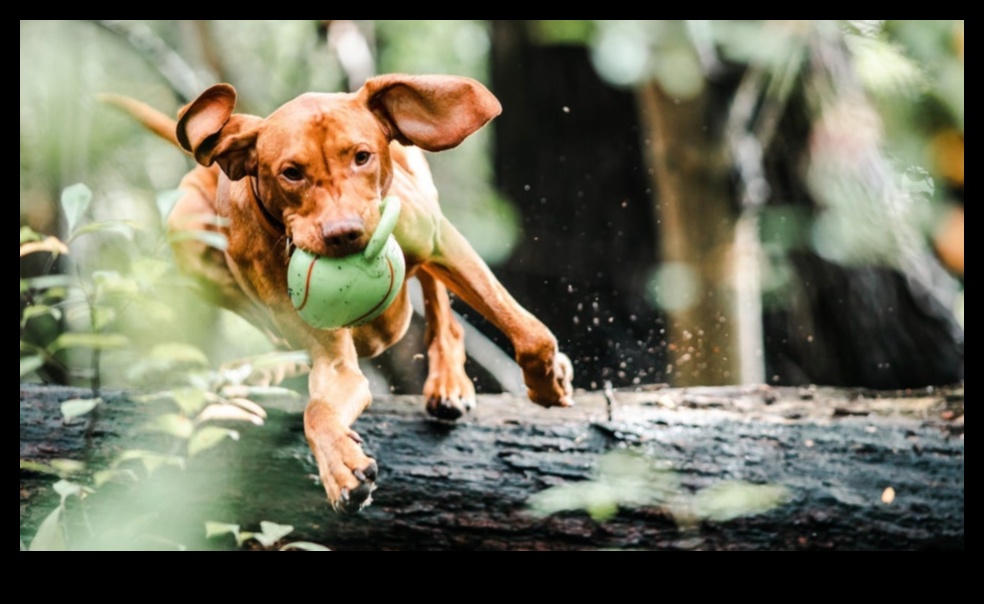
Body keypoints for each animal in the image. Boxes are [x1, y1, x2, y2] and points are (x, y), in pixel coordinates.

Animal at [113, 73, 576, 512]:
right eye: (291, 172)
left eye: (361, 156)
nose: (344, 234)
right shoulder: (333, 359)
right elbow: (318, 408)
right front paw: (340, 467)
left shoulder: (441, 242)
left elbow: (529, 333)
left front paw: (547, 382)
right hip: (188, 232)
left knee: (438, 302)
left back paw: (448, 381)